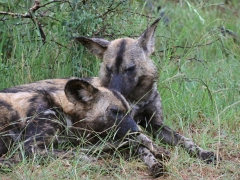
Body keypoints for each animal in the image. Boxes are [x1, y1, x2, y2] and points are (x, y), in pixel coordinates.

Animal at [0, 78, 169, 176]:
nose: (135, 130)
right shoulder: (31, 147)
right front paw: (103, 164)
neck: (63, 110)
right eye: (115, 111)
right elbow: (77, 154)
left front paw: (155, 150)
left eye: (130, 113)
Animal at [74, 18, 219, 163]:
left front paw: (202, 152)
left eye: (130, 68)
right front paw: (153, 162)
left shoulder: (155, 124)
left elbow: (184, 140)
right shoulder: (129, 127)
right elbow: (143, 147)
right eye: (109, 69)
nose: (114, 92)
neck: (139, 98)